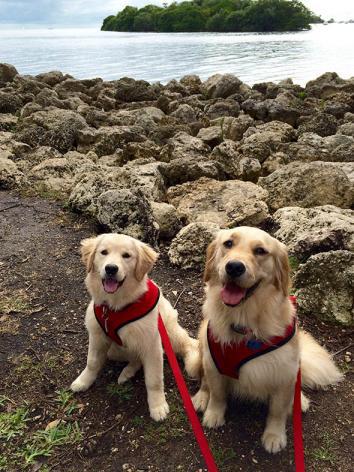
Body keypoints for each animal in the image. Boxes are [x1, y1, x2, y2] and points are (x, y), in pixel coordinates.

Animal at [71, 234, 199, 422]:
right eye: (103, 252)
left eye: (126, 256)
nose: (111, 269)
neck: (115, 307)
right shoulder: (97, 336)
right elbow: (92, 362)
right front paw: (83, 381)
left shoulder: (152, 345)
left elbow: (154, 380)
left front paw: (158, 406)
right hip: (114, 350)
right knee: (135, 358)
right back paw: (127, 372)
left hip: (169, 332)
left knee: (188, 345)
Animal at [191, 228, 342, 454]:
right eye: (228, 243)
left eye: (260, 251)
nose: (234, 267)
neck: (243, 322)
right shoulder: (214, 362)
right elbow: (217, 393)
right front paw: (213, 414)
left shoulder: (284, 374)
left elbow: (277, 411)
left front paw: (274, 436)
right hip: (202, 339)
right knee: (204, 380)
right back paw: (201, 397)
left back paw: (300, 401)